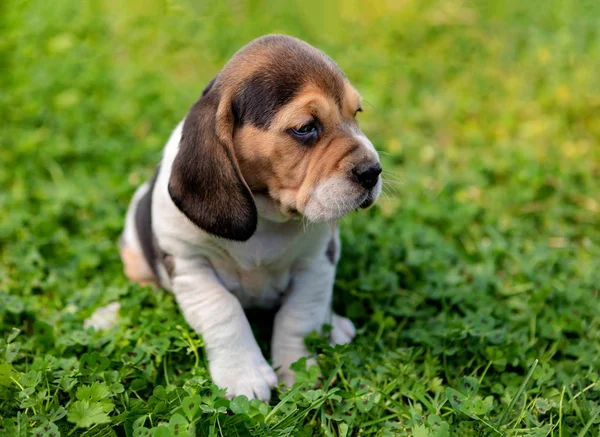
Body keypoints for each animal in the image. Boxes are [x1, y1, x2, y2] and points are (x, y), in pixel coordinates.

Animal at [95, 35, 384, 400]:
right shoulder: (188, 263)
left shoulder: (316, 262)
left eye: (356, 113)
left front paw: (297, 371)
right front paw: (244, 376)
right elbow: (223, 308)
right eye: (305, 128)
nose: (373, 171)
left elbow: (298, 316)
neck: (267, 212)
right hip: (135, 245)